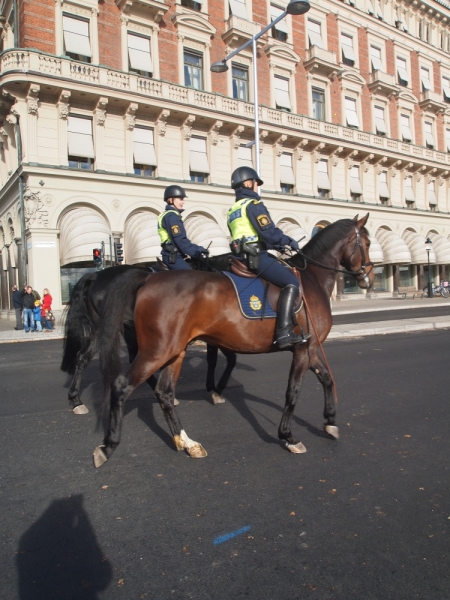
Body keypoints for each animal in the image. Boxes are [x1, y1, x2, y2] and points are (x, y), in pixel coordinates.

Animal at [60, 258, 236, 418]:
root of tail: (96, 275)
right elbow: (221, 359)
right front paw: (215, 390)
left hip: (109, 329)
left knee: (84, 357)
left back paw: (76, 400)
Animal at [93, 216, 374, 468]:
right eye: (368, 242)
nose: (368, 279)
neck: (311, 280)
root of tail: (148, 279)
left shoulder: (311, 347)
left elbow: (327, 379)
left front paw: (330, 421)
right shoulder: (303, 349)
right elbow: (293, 391)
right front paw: (288, 436)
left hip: (174, 352)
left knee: (165, 393)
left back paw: (187, 442)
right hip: (156, 352)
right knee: (122, 386)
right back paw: (107, 446)